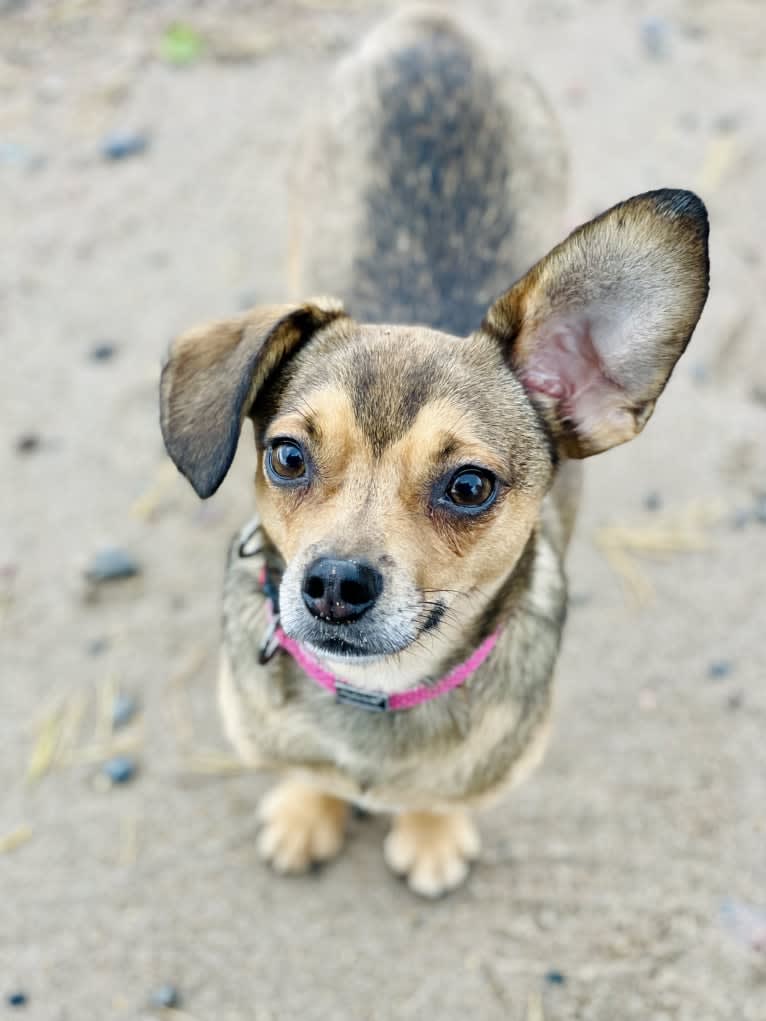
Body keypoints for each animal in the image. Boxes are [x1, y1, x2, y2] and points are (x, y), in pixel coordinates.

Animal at [159, 11, 710, 898]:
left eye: (470, 485)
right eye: (287, 458)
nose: (333, 583)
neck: (371, 696)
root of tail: (433, 22)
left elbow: (442, 793)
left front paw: (429, 831)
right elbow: (307, 770)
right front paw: (308, 808)